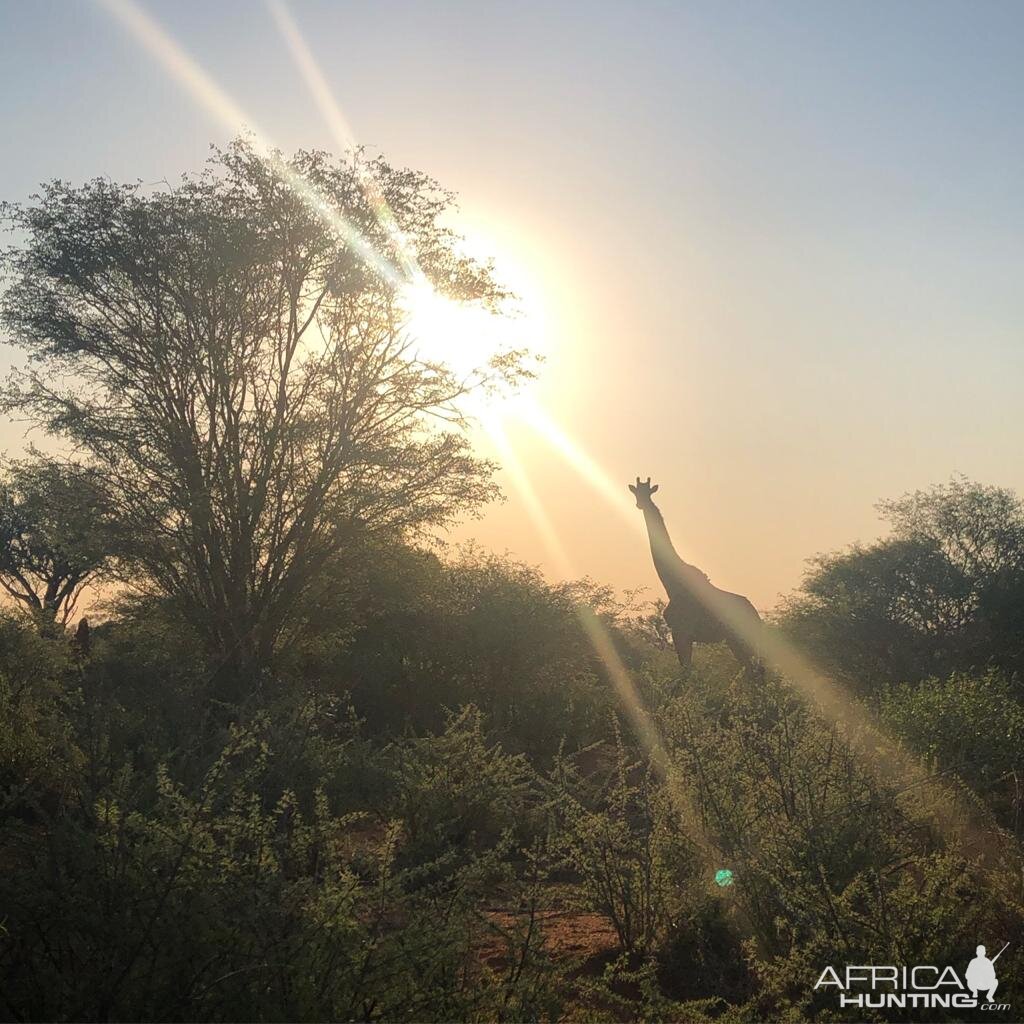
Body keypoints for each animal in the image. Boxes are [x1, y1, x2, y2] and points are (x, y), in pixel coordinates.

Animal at [626, 477, 765, 671]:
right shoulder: (682, 633)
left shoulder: (681, 631)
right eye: (636, 492)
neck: (671, 584)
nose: (640, 504)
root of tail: (756, 615)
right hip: (735, 641)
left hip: (739, 640)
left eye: (649, 492)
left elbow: (685, 672)